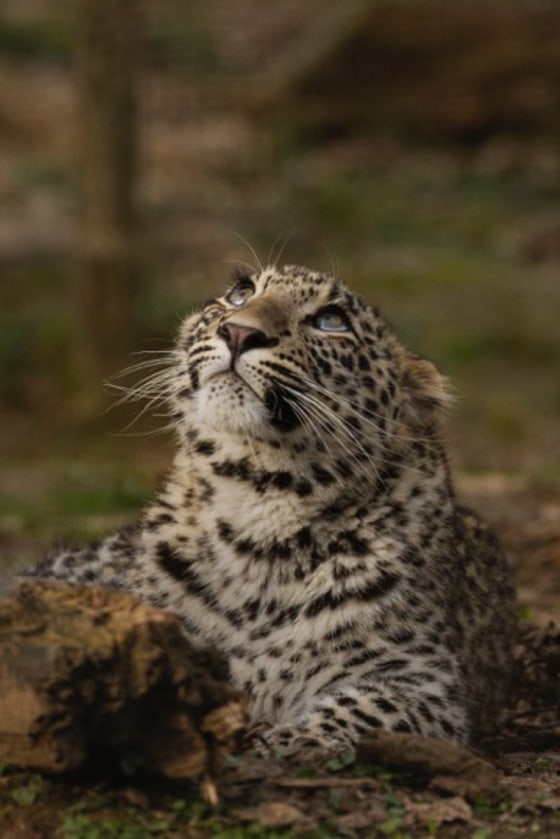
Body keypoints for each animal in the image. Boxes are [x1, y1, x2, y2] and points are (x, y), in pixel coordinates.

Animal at [27, 263, 517, 757]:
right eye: (240, 293)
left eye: (331, 321)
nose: (239, 332)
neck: (257, 508)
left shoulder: (423, 681)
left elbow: (361, 709)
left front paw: (281, 740)